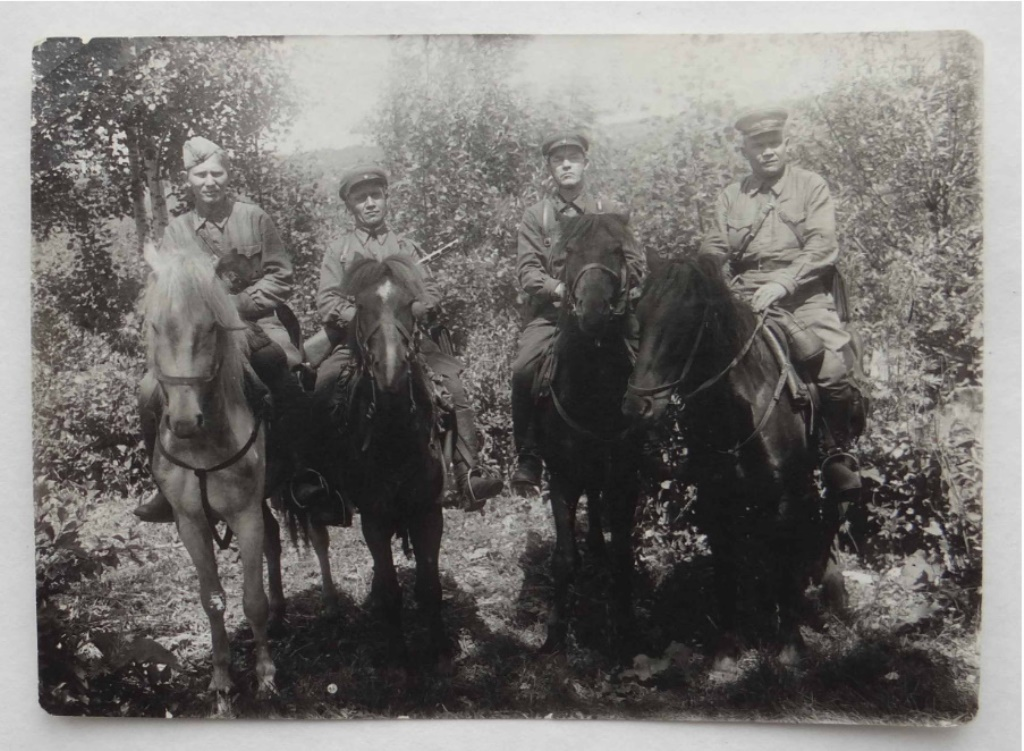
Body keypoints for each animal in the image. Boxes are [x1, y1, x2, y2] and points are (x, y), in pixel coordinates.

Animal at [141, 245, 280, 696]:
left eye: (210, 328)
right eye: (155, 326)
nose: (184, 422)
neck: (204, 448)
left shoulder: (246, 516)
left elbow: (253, 599)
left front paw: (266, 673)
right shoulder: (190, 523)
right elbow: (212, 600)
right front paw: (221, 676)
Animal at [317, 255, 450, 672]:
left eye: (409, 304)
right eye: (361, 306)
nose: (390, 374)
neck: (394, 434)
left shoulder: (428, 513)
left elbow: (429, 585)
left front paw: (437, 649)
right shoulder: (373, 519)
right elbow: (392, 591)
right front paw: (397, 655)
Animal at [618, 253, 843, 668]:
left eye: (686, 320)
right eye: (639, 314)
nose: (636, 407)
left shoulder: (785, 499)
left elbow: (783, 563)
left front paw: (790, 643)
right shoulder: (715, 498)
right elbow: (725, 567)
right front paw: (726, 646)